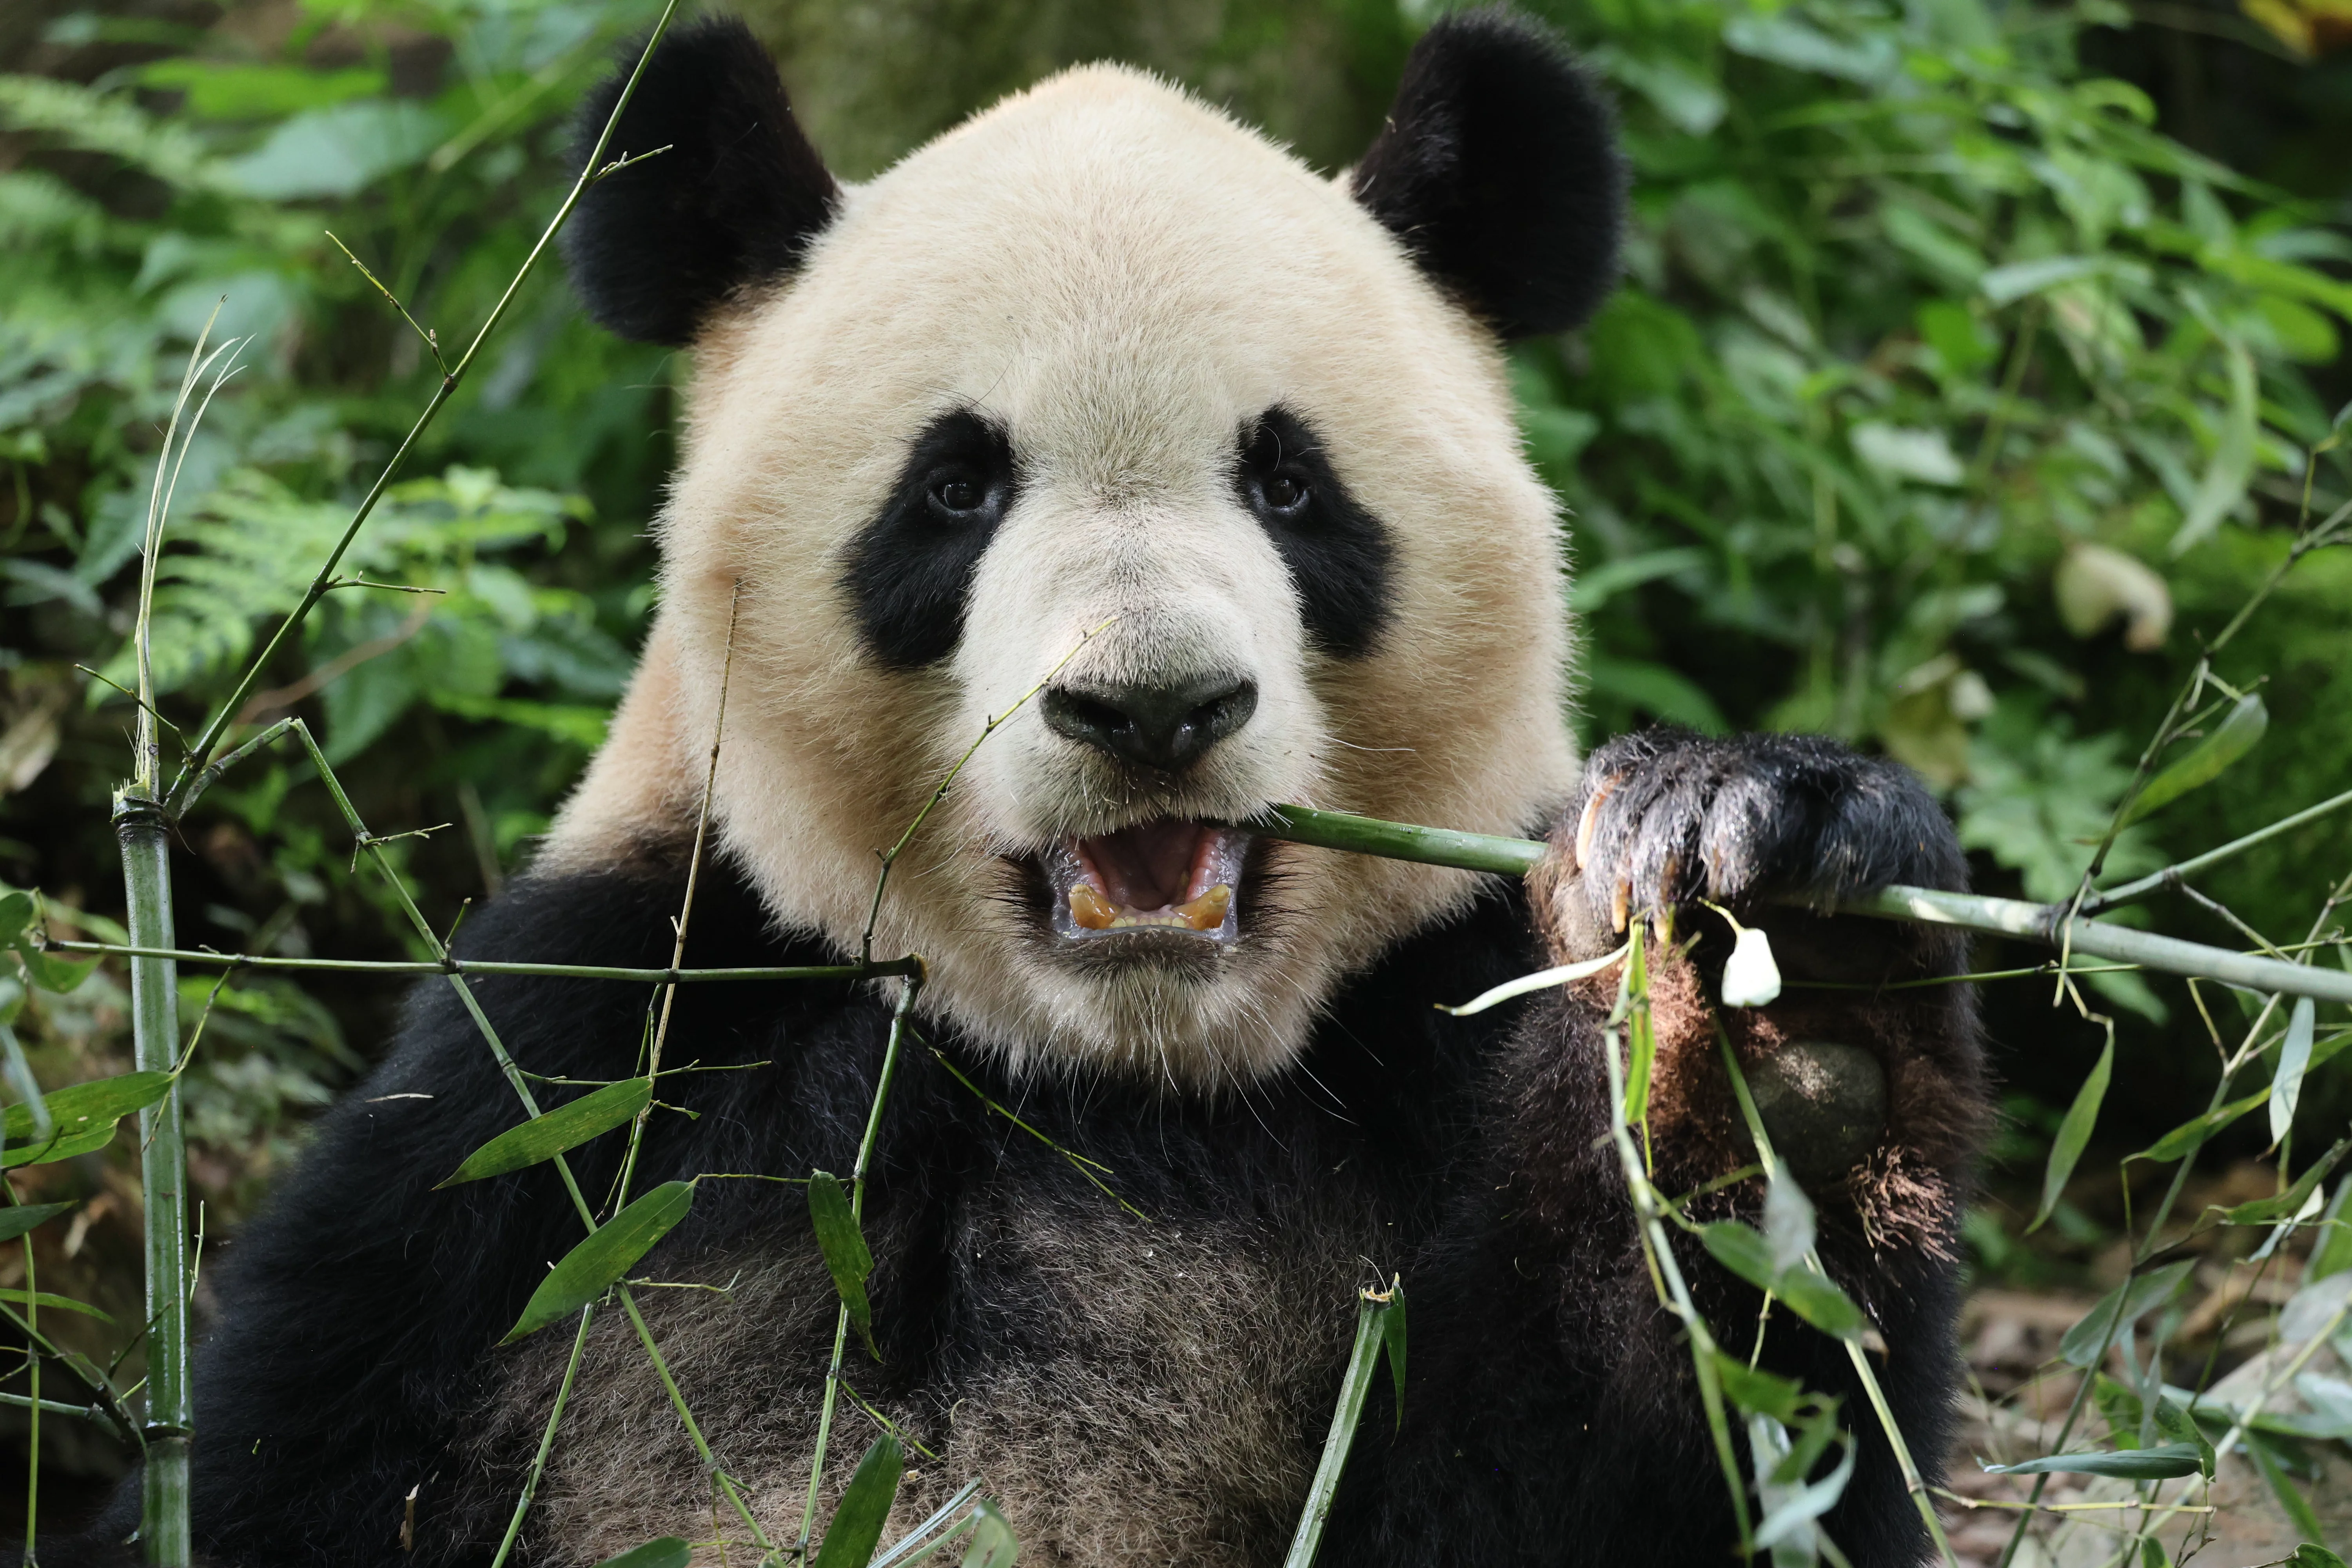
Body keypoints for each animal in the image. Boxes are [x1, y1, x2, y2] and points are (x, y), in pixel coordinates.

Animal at [58, 9, 1988, 1566]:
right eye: (955, 487)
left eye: (1290, 483)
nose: (1150, 705)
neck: (1101, 1066)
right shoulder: (566, 1091)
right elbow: (286, 1457)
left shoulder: (1420, 1021)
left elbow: (1667, 1465)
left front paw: (1768, 999)